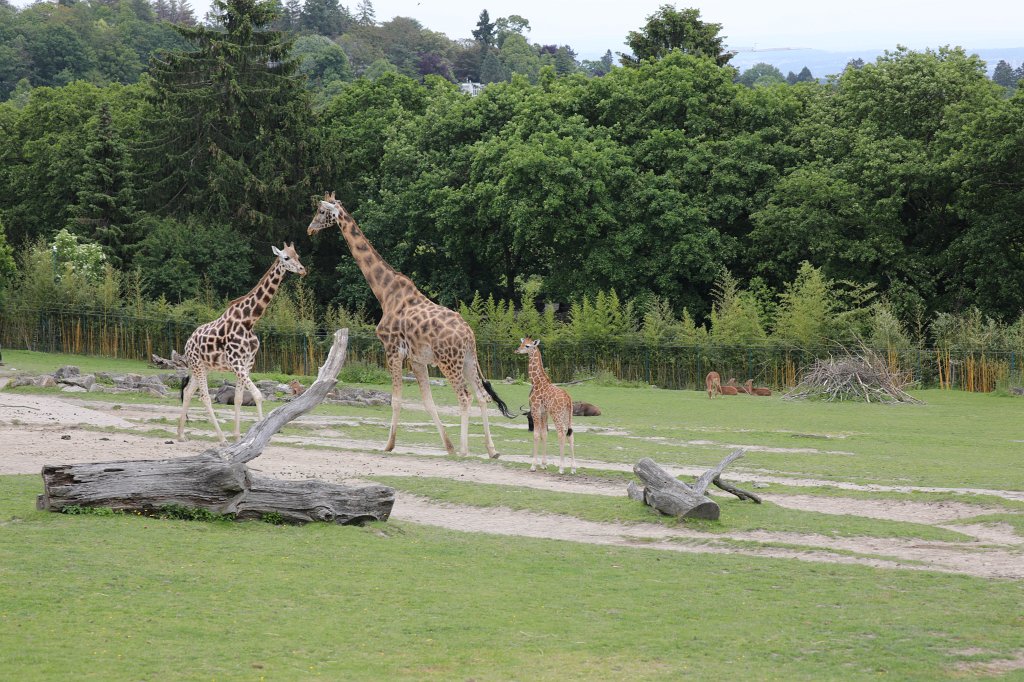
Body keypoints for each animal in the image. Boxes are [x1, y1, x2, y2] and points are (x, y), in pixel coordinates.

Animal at [177, 244, 307, 443]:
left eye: (297, 255)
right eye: (285, 257)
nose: (302, 270)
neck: (249, 321)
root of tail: (187, 343)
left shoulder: (247, 363)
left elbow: (238, 398)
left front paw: (238, 436)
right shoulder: (236, 362)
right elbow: (258, 395)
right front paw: (260, 434)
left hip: (204, 367)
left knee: (190, 391)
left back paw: (181, 434)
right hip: (198, 364)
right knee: (205, 397)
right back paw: (221, 438)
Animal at [307, 192, 513, 457]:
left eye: (321, 211)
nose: (310, 229)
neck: (385, 293)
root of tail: (469, 334)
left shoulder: (392, 349)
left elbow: (396, 399)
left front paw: (388, 445)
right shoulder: (416, 359)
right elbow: (428, 401)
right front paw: (448, 446)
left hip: (449, 361)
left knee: (464, 397)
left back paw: (466, 449)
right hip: (468, 360)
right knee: (480, 395)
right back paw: (491, 450)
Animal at [515, 338, 576, 474]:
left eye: (527, 346)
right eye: (521, 343)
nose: (517, 350)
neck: (536, 381)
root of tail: (568, 398)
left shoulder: (536, 409)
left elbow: (536, 434)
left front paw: (533, 465)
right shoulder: (544, 412)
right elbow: (544, 434)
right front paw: (543, 464)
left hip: (557, 414)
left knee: (561, 433)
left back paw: (561, 467)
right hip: (567, 415)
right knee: (570, 434)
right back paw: (573, 468)